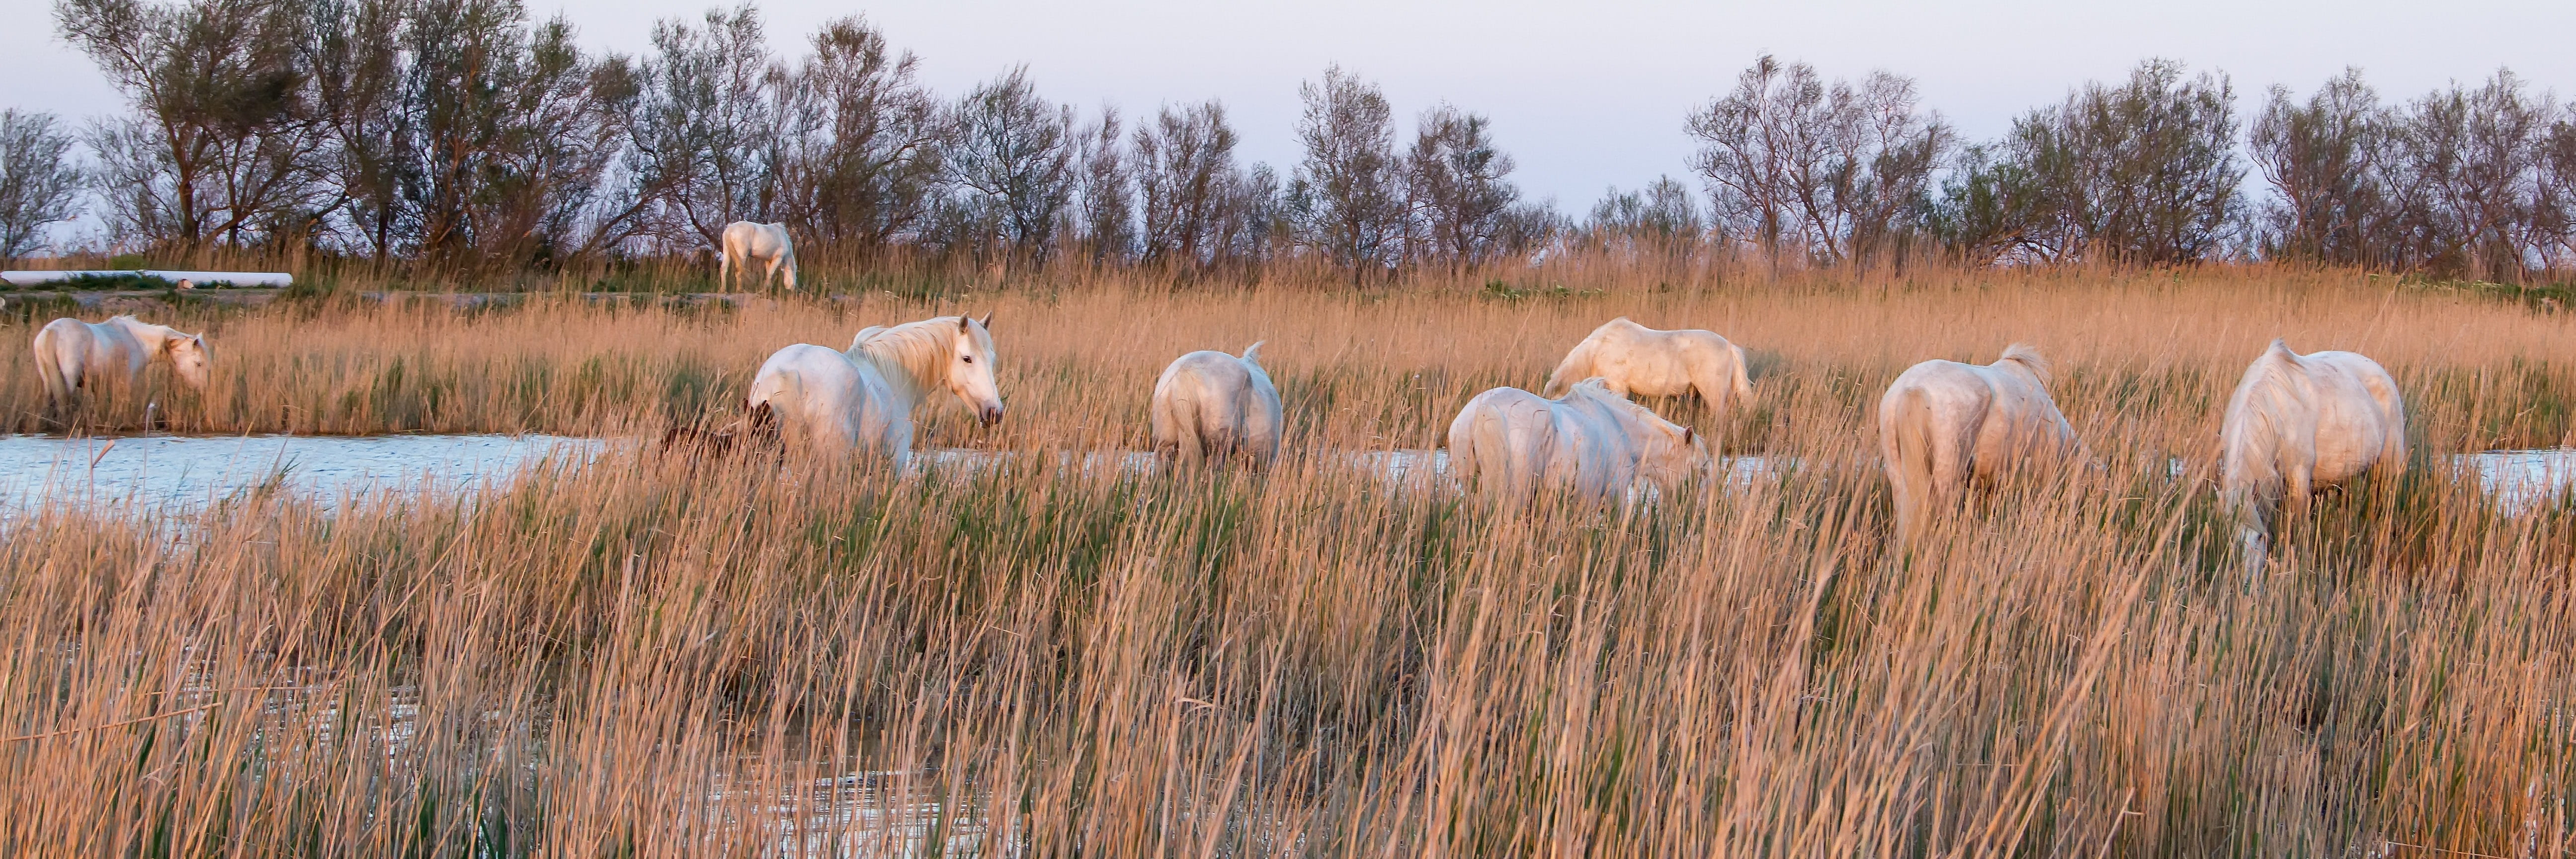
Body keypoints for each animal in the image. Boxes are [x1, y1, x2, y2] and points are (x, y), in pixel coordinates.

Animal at [32, 315, 213, 419]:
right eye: (199, 363)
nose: (203, 390)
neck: (137, 340)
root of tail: (52, 331)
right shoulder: (127, 381)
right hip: (68, 379)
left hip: (47, 379)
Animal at [720, 221, 798, 291]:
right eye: (795, 274)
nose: (793, 289)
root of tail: (730, 229)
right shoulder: (778, 258)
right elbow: (770, 273)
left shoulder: (768, 260)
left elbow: (768, 273)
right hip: (742, 255)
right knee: (739, 270)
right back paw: (740, 290)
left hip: (727, 252)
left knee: (724, 269)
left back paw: (723, 290)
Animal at [2218, 339, 2407, 575]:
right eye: (2232, 547)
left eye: (2259, 541)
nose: (2245, 584)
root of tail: (2380, 372)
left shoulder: (2299, 477)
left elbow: (2299, 526)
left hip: (2389, 465)